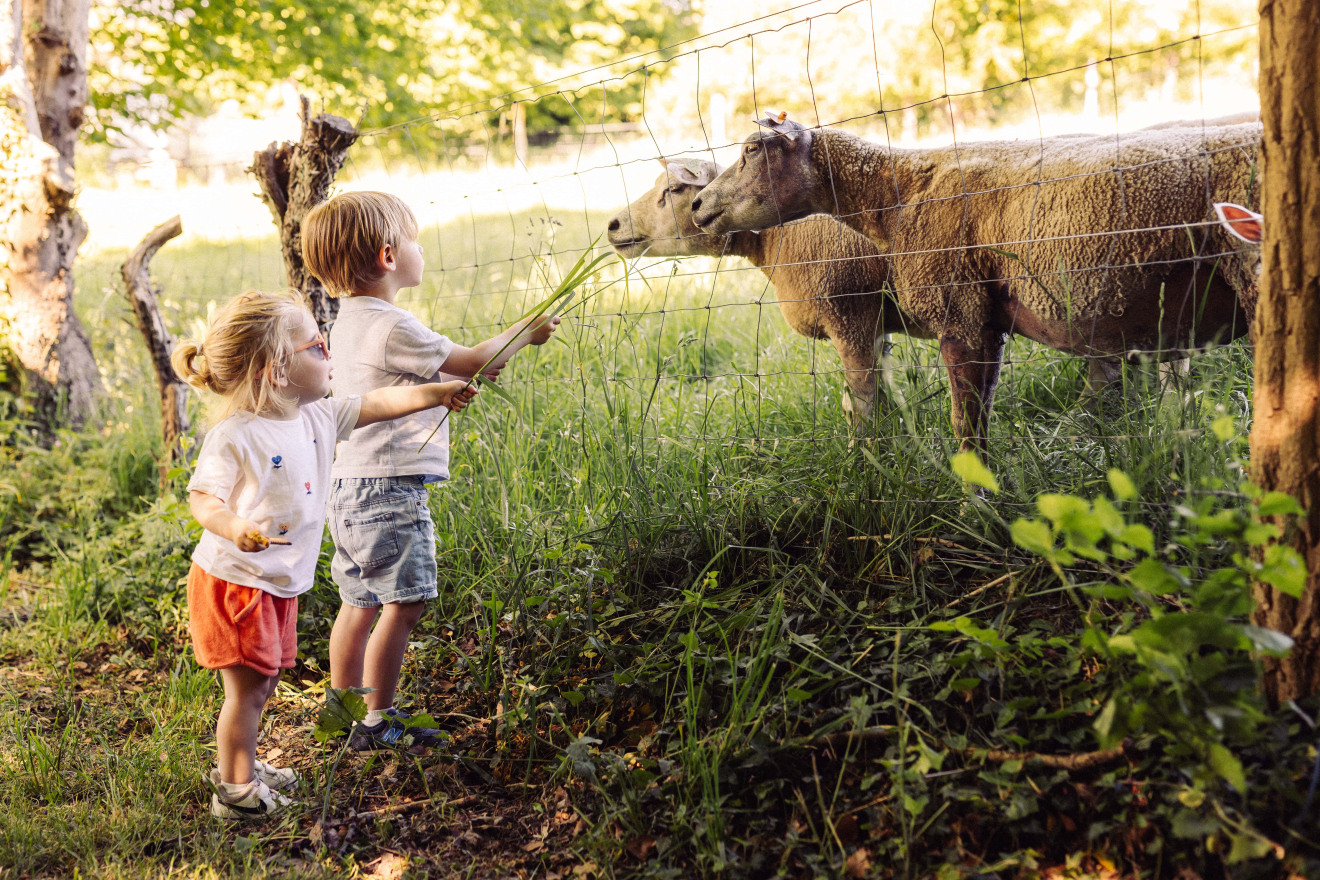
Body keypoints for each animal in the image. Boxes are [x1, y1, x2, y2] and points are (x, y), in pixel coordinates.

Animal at [604, 160, 929, 422]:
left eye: (673, 189)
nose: (612, 224)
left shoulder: (850, 320)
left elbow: (859, 407)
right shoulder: (875, 325)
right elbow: (880, 394)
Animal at [691, 114, 1256, 459]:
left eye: (751, 149)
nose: (697, 206)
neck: (897, 196)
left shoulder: (958, 311)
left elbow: (965, 426)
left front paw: (975, 509)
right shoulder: (986, 321)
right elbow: (978, 420)